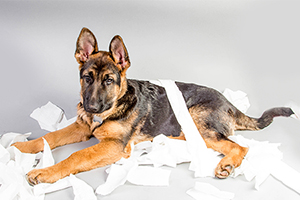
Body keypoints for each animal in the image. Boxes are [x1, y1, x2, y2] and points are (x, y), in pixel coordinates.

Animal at [12, 27, 296, 185]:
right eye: (87, 78)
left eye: (109, 80)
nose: (89, 108)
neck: (115, 105)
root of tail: (230, 104)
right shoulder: (82, 129)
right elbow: (50, 136)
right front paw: (22, 147)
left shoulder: (114, 146)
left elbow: (76, 156)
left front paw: (45, 172)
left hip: (196, 120)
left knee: (240, 147)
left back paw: (226, 164)